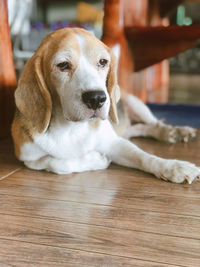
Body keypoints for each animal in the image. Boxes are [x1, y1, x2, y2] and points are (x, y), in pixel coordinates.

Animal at [11, 27, 199, 184]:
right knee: (139, 129)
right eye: (63, 65)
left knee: (155, 123)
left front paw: (174, 167)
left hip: (135, 103)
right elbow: (57, 163)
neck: (71, 128)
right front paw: (97, 159)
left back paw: (174, 131)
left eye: (102, 62)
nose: (97, 98)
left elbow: (144, 156)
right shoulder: (28, 158)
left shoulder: (114, 143)